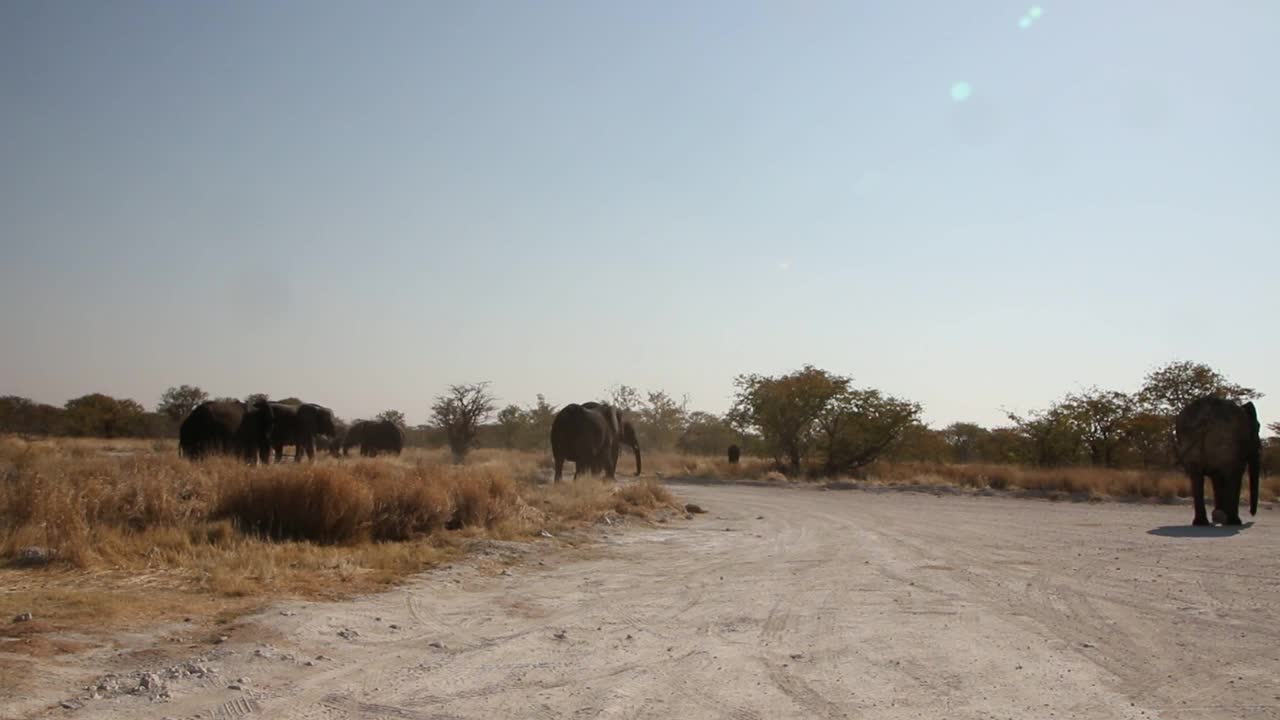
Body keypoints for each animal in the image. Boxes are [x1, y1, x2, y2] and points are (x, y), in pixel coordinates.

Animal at [1177, 394, 1259, 525]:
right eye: (1258, 428)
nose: (1252, 514)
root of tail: (1205, 417)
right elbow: (1233, 474)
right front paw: (1227, 519)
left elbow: (1217, 477)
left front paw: (1218, 517)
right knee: (1233, 474)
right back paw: (1233, 521)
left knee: (1196, 475)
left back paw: (1202, 522)